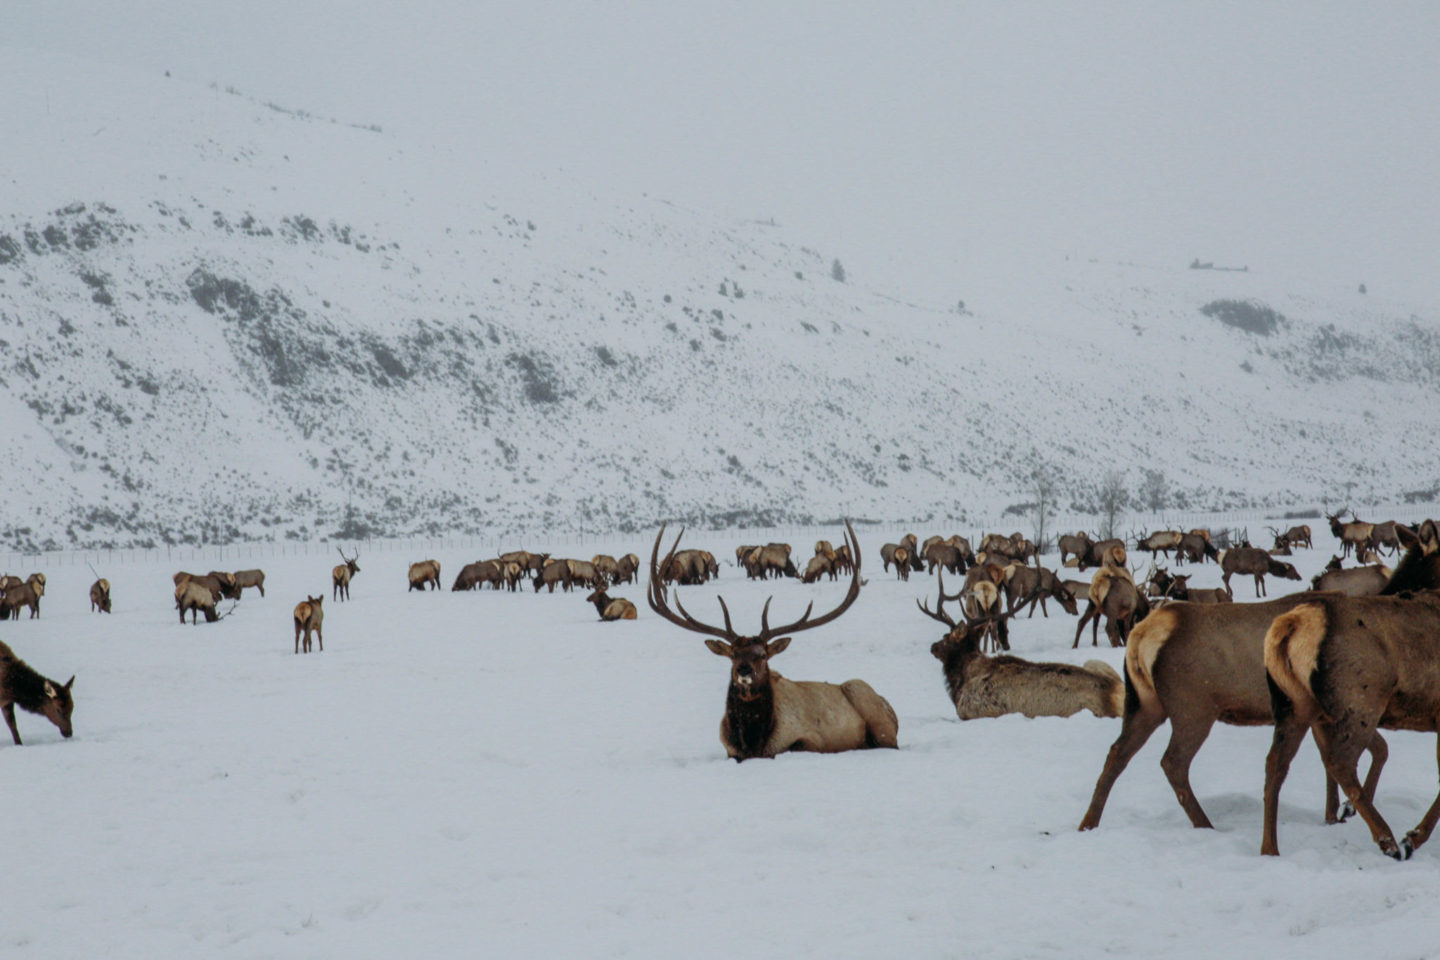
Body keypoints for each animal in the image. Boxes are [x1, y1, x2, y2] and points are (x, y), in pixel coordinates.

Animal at [647, 520, 898, 761]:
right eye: (733, 655)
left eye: (763, 655)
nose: (744, 670)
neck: (752, 742)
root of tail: (891, 709)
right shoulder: (730, 750)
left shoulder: (811, 740)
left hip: (870, 706)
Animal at [920, 576, 1123, 720]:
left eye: (946, 636)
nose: (933, 647)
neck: (961, 681)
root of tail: (1115, 695)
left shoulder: (974, 709)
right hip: (1095, 662)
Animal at [1261, 525, 1440, 858]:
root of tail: (1293, 625)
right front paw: (1413, 837)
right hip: (1360, 701)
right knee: (1339, 762)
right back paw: (1387, 839)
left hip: (1295, 705)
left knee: (1275, 765)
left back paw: (1270, 848)